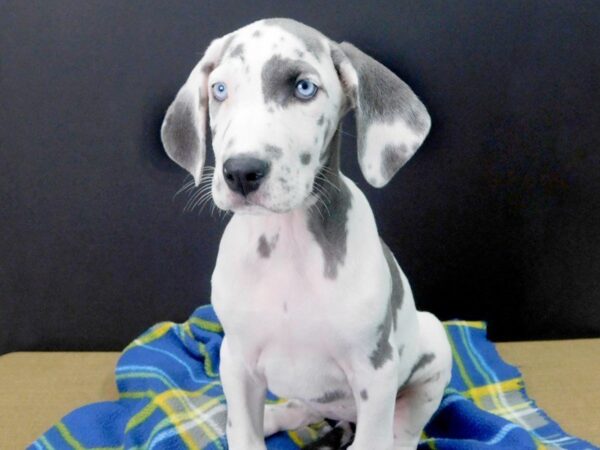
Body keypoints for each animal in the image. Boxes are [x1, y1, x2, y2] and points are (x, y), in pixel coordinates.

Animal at [162, 17, 452, 450]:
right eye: (220, 89)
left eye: (303, 88)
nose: (241, 172)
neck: (289, 243)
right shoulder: (236, 360)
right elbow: (244, 434)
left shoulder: (376, 373)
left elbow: (374, 439)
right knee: (304, 410)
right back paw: (275, 415)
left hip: (433, 344)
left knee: (403, 431)